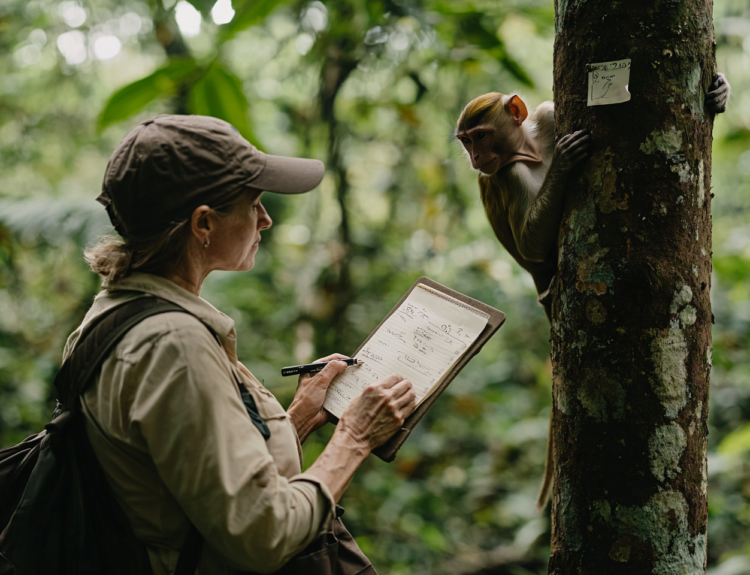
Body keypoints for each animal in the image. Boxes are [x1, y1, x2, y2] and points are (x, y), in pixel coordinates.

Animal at [456, 73, 732, 512]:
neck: (528, 149)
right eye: (467, 140)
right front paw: (564, 163)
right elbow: (530, 244)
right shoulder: (507, 174)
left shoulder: (546, 117)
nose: (476, 158)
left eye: (479, 136)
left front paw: (721, 94)